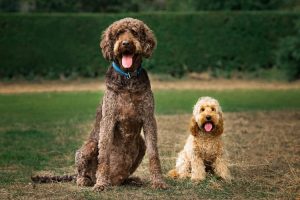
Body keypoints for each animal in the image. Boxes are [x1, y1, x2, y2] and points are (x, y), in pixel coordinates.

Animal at [74, 17, 166, 191]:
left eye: (135, 32)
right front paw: (101, 184)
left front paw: (158, 181)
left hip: (141, 144)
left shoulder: (149, 118)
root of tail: (115, 180)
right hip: (89, 146)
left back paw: (131, 180)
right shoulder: (108, 120)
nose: (126, 43)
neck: (128, 77)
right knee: (82, 171)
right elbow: (104, 155)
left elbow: (154, 154)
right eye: (118, 33)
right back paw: (87, 180)